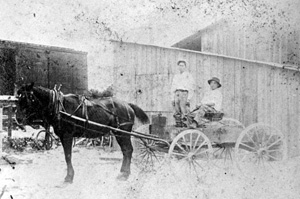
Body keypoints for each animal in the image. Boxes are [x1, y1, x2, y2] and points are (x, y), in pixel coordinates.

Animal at [15, 83, 149, 183]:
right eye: (18, 98)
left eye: (28, 98)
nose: (18, 118)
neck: (59, 107)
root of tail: (127, 105)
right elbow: (67, 156)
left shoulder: (67, 136)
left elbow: (68, 156)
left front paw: (69, 177)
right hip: (119, 133)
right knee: (126, 151)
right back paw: (123, 172)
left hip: (122, 133)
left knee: (128, 150)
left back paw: (125, 174)